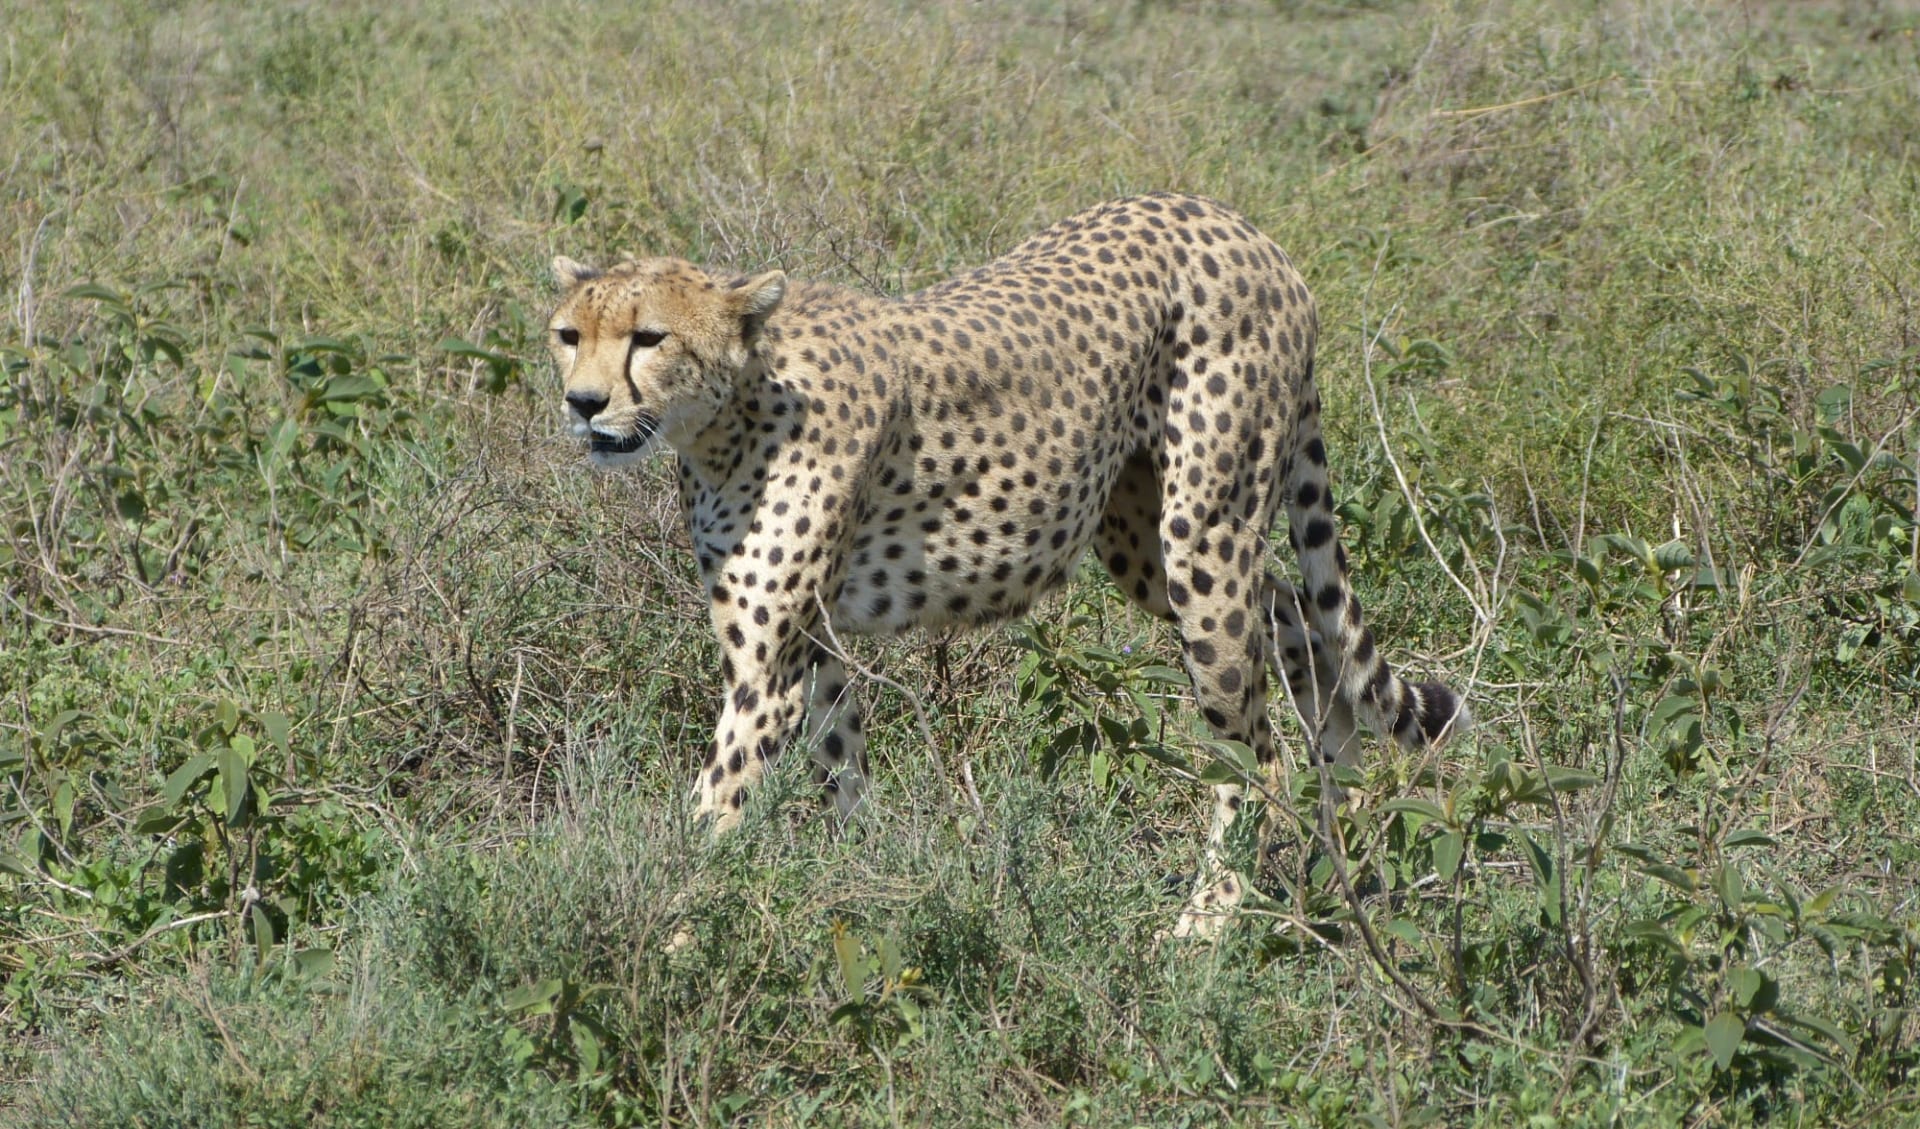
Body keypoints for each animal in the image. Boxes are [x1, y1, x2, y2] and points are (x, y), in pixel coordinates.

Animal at [549, 195, 1459, 933]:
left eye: (649, 337)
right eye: (568, 336)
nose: (583, 403)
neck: (727, 417)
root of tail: (1240, 226)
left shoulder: (767, 669)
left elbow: (713, 810)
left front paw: (666, 924)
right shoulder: (817, 642)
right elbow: (841, 766)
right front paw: (856, 888)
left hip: (1202, 532)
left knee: (1255, 747)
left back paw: (1211, 920)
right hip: (1142, 539)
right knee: (1298, 617)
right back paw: (1335, 825)